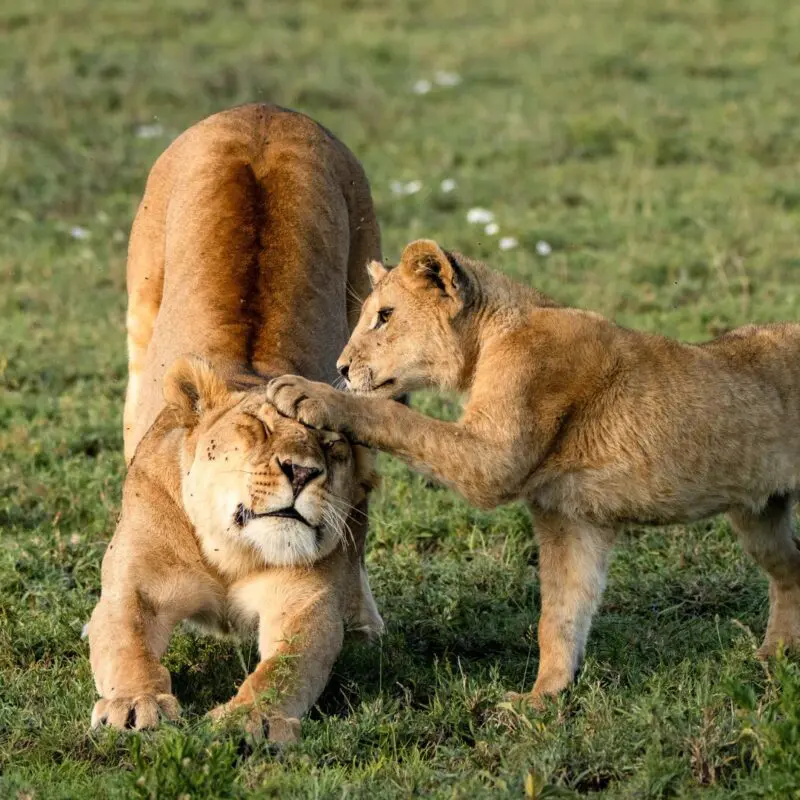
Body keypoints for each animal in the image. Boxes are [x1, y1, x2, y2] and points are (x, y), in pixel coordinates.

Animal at [87, 104, 383, 741]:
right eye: (256, 432)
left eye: (330, 446)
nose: (302, 473)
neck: (233, 553)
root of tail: (263, 110)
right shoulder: (133, 588)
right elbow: (125, 642)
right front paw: (136, 704)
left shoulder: (305, 606)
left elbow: (286, 668)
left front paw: (251, 720)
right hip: (139, 322)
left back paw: (365, 623)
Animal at [266, 238, 800, 707]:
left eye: (385, 316)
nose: (342, 366)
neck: (492, 336)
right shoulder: (570, 518)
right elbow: (560, 615)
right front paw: (541, 699)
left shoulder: (494, 461)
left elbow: (395, 417)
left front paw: (307, 393)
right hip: (758, 518)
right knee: (791, 565)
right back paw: (775, 655)